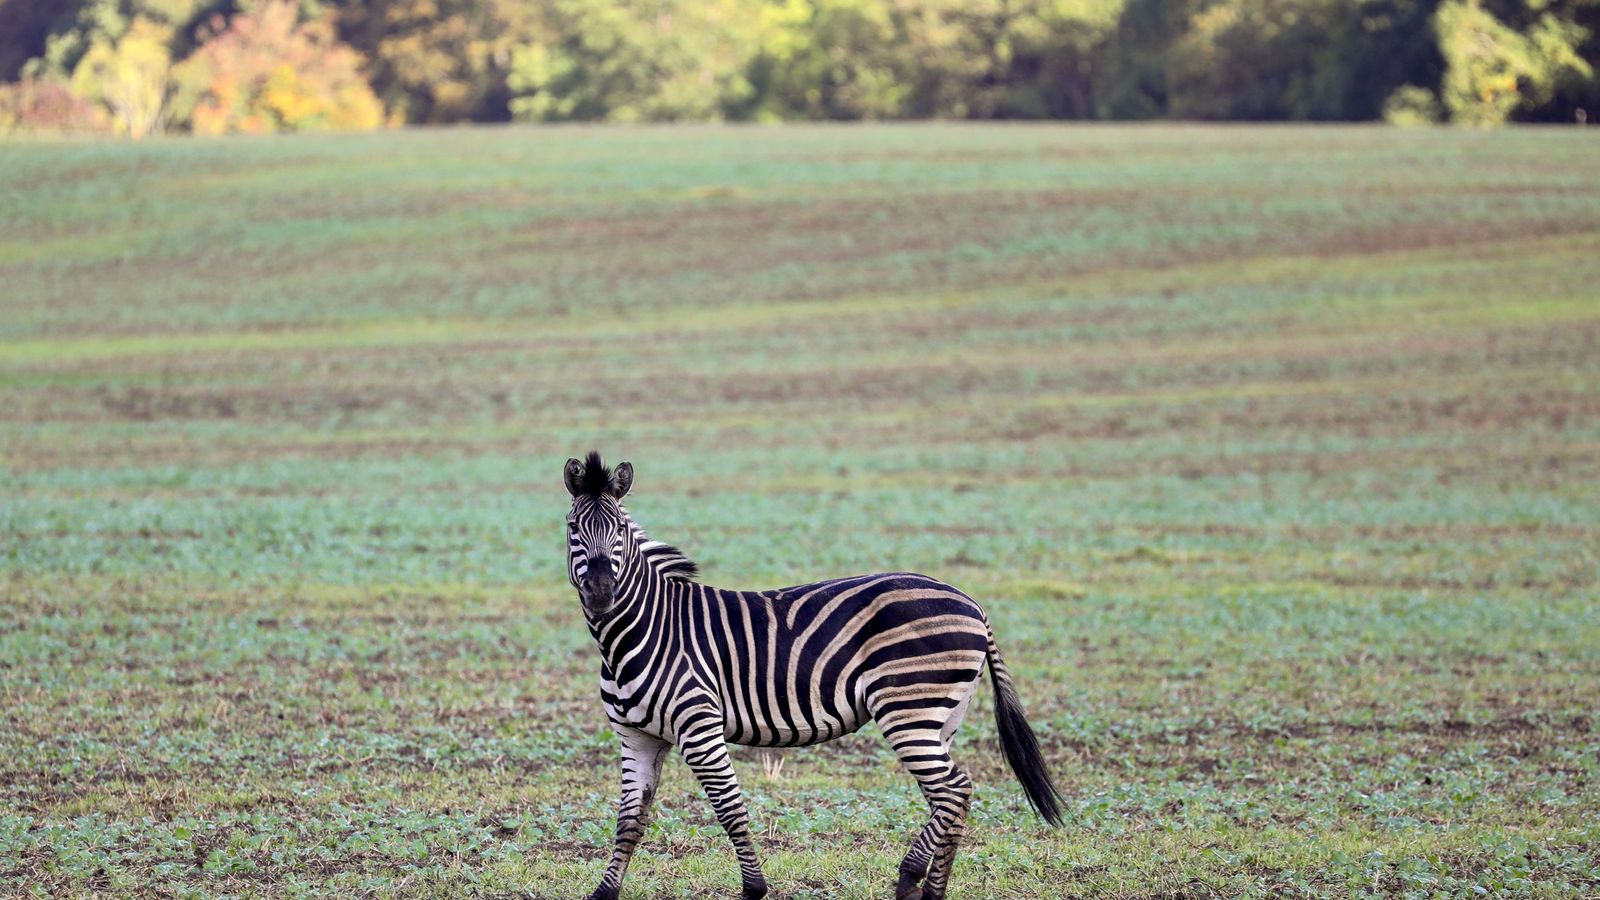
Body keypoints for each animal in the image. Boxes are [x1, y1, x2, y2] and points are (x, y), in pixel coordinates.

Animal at [563, 453, 1062, 900]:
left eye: (620, 530)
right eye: (573, 529)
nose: (603, 592)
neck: (639, 631)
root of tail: (972, 603)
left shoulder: (699, 727)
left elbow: (730, 808)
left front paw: (754, 889)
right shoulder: (637, 737)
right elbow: (629, 821)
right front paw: (604, 892)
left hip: (909, 709)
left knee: (954, 790)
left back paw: (917, 883)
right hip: (941, 716)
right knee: (947, 797)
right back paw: (923, 886)